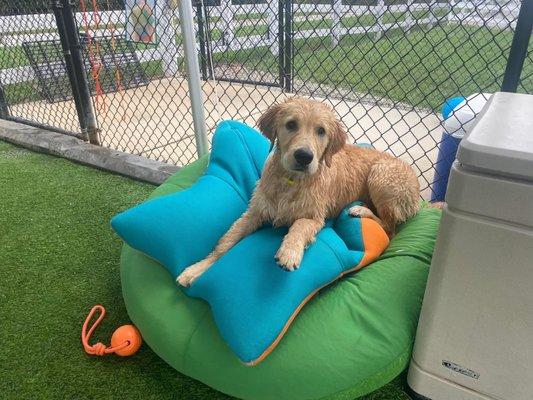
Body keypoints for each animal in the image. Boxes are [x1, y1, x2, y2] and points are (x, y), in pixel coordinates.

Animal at [178, 96, 420, 288]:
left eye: (321, 131)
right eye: (291, 124)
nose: (304, 156)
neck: (291, 182)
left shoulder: (315, 218)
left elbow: (299, 225)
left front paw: (289, 251)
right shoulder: (254, 213)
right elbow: (225, 243)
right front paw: (197, 269)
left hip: (381, 175)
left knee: (390, 228)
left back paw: (361, 210)